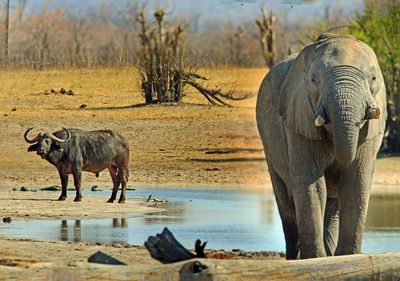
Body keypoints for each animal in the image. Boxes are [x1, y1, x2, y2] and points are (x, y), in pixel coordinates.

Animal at [256, 33, 388, 258]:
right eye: (313, 80)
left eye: (373, 79)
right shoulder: (298, 116)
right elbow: (313, 188)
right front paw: (315, 259)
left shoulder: (371, 132)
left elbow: (354, 184)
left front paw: (347, 257)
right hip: (268, 143)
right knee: (287, 203)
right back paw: (295, 258)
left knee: (332, 204)